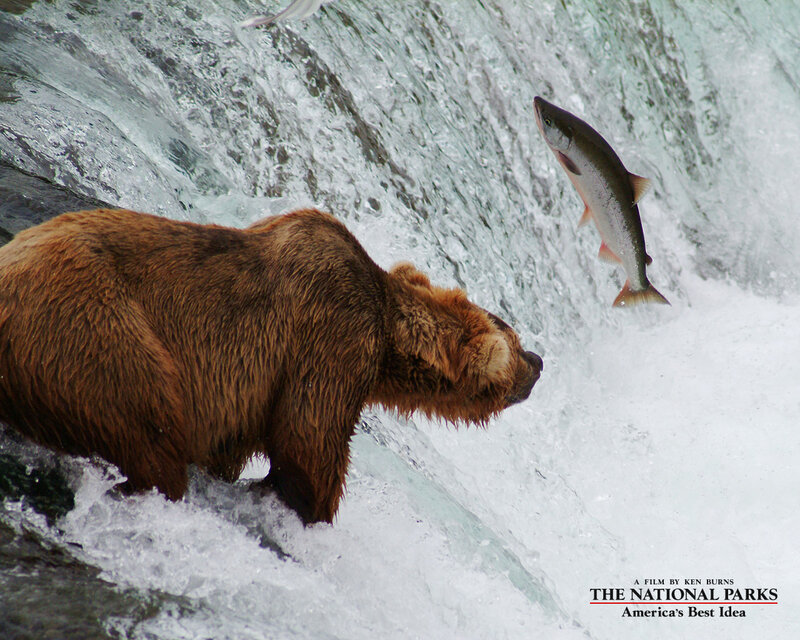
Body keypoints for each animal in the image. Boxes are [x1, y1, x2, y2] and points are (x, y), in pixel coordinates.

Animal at [0, 208, 542, 523]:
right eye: (513, 339)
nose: (539, 362)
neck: (388, 333)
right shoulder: (330, 335)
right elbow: (310, 439)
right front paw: (310, 508)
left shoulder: (242, 395)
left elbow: (230, 450)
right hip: (94, 331)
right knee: (151, 431)